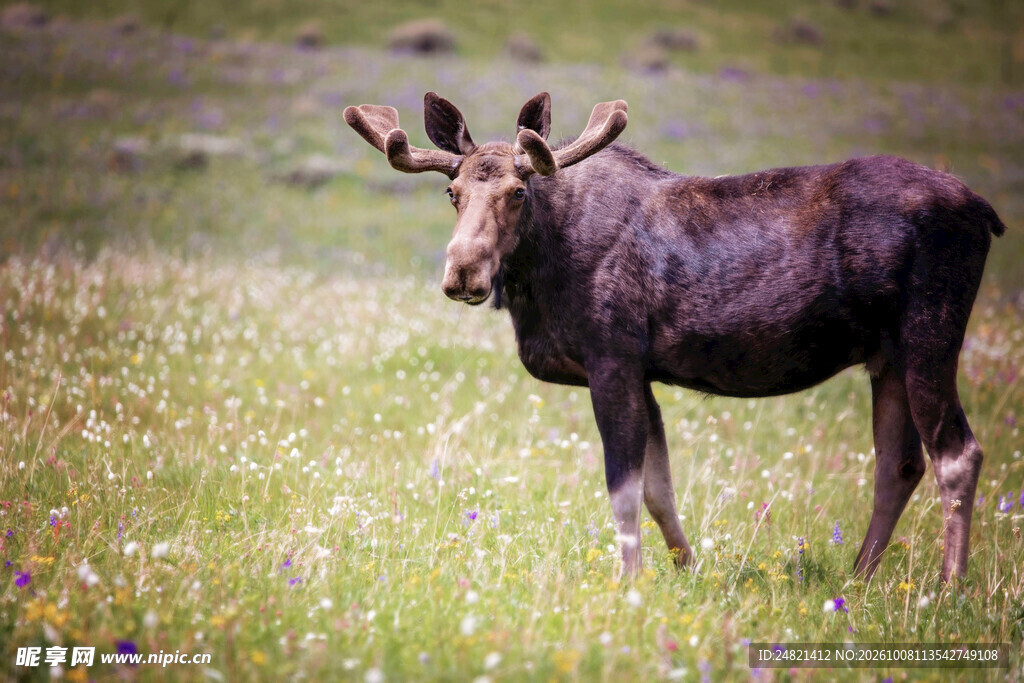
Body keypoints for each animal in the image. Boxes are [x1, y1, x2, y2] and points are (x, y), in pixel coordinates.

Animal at [344, 91, 1006, 582]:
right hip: (885, 357)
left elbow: (623, 488)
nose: (462, 272)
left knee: (957, 454)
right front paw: (686, 571)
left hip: (928, 334)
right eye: (452, 192)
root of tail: (985, 211)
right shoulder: (642, 372)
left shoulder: (611, 357)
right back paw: (860, 577)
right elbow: (659, 489)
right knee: (898, 463)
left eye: (518, 191)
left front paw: (627, 583)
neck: (539, 277)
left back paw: (949, 587)